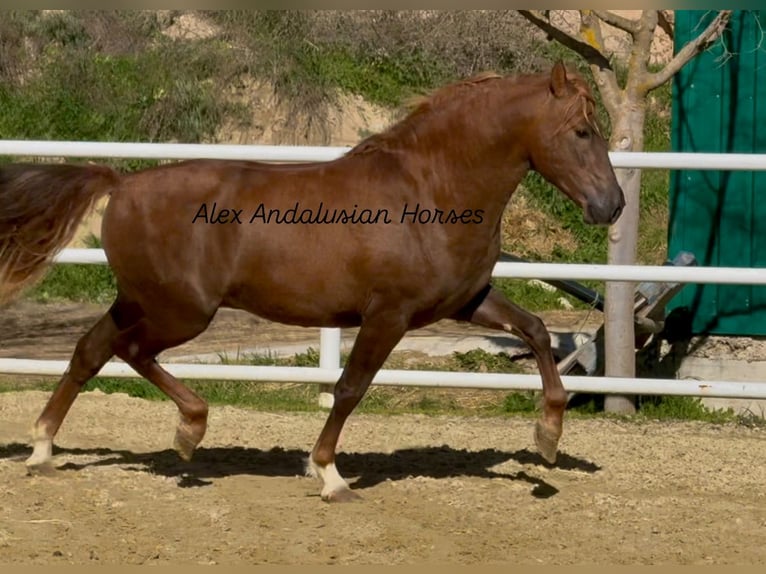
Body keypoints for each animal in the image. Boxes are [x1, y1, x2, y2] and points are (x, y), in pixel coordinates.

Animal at [0, 63, 624, 504]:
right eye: (582, 131)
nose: (611, 206)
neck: (433, 188)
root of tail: (122, 182)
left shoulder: (466, 301)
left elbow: (537, 330)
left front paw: (548, 438)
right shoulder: (389, 315)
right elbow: (350, 388)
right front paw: (329, 476)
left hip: (140, 300)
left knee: (90, 351)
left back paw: (43, 449)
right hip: (182, 311)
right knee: (130, 352)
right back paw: (189, 430)